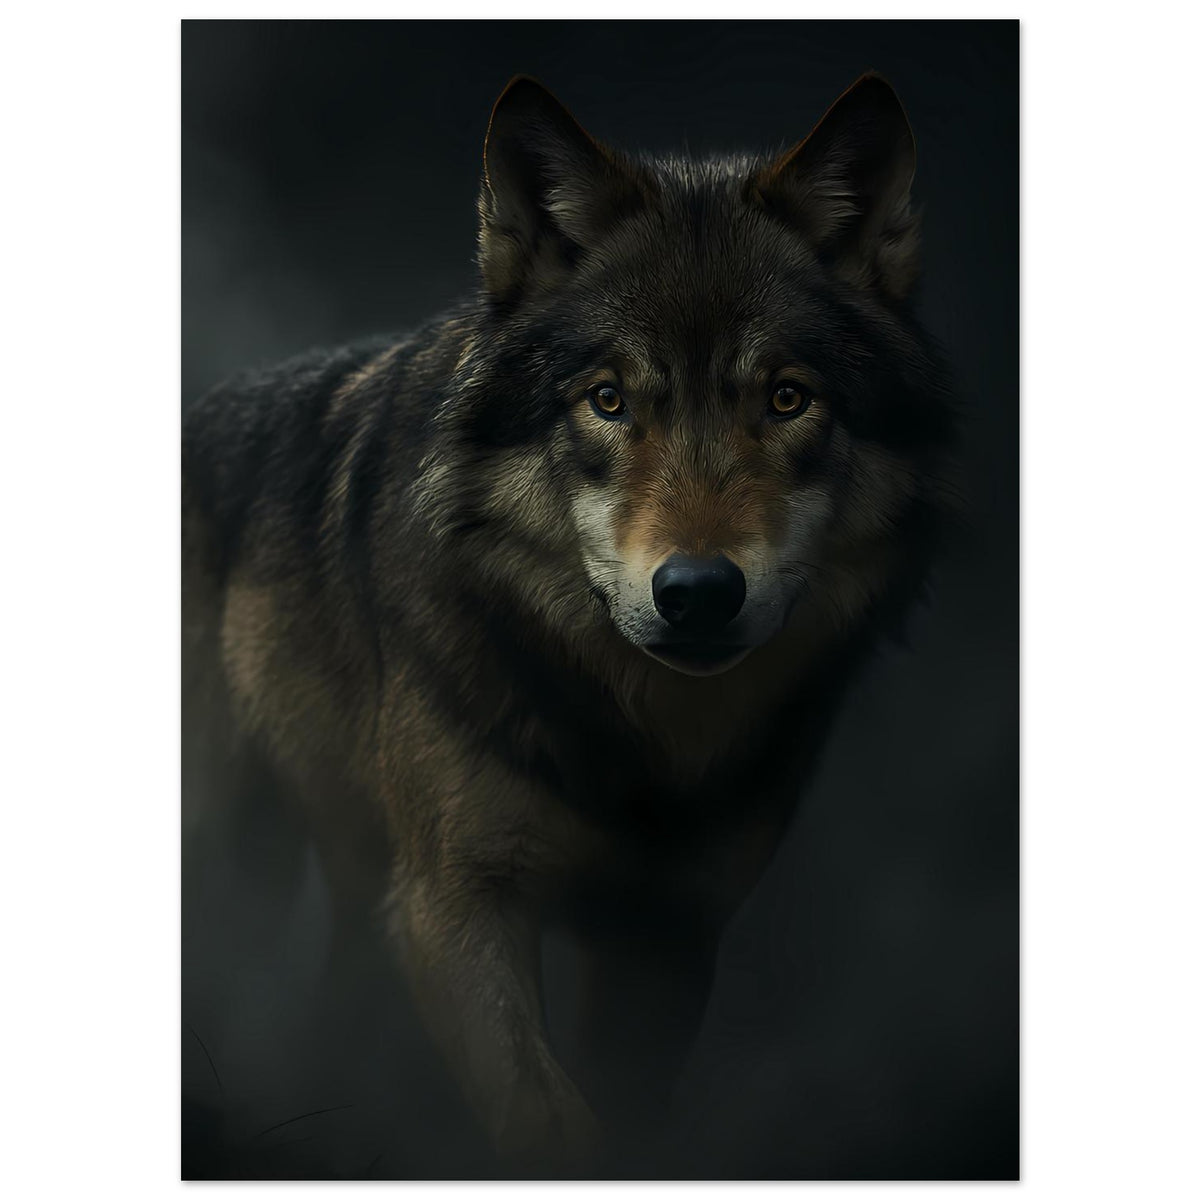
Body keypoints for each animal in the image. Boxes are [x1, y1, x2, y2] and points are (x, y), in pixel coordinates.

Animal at [182, 73, 956, 1174]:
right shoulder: (454, 907)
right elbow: (548, 1120)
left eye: (786, 399)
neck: (638, 742)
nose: (698, 590)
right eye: (607, 400)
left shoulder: (668, 938)